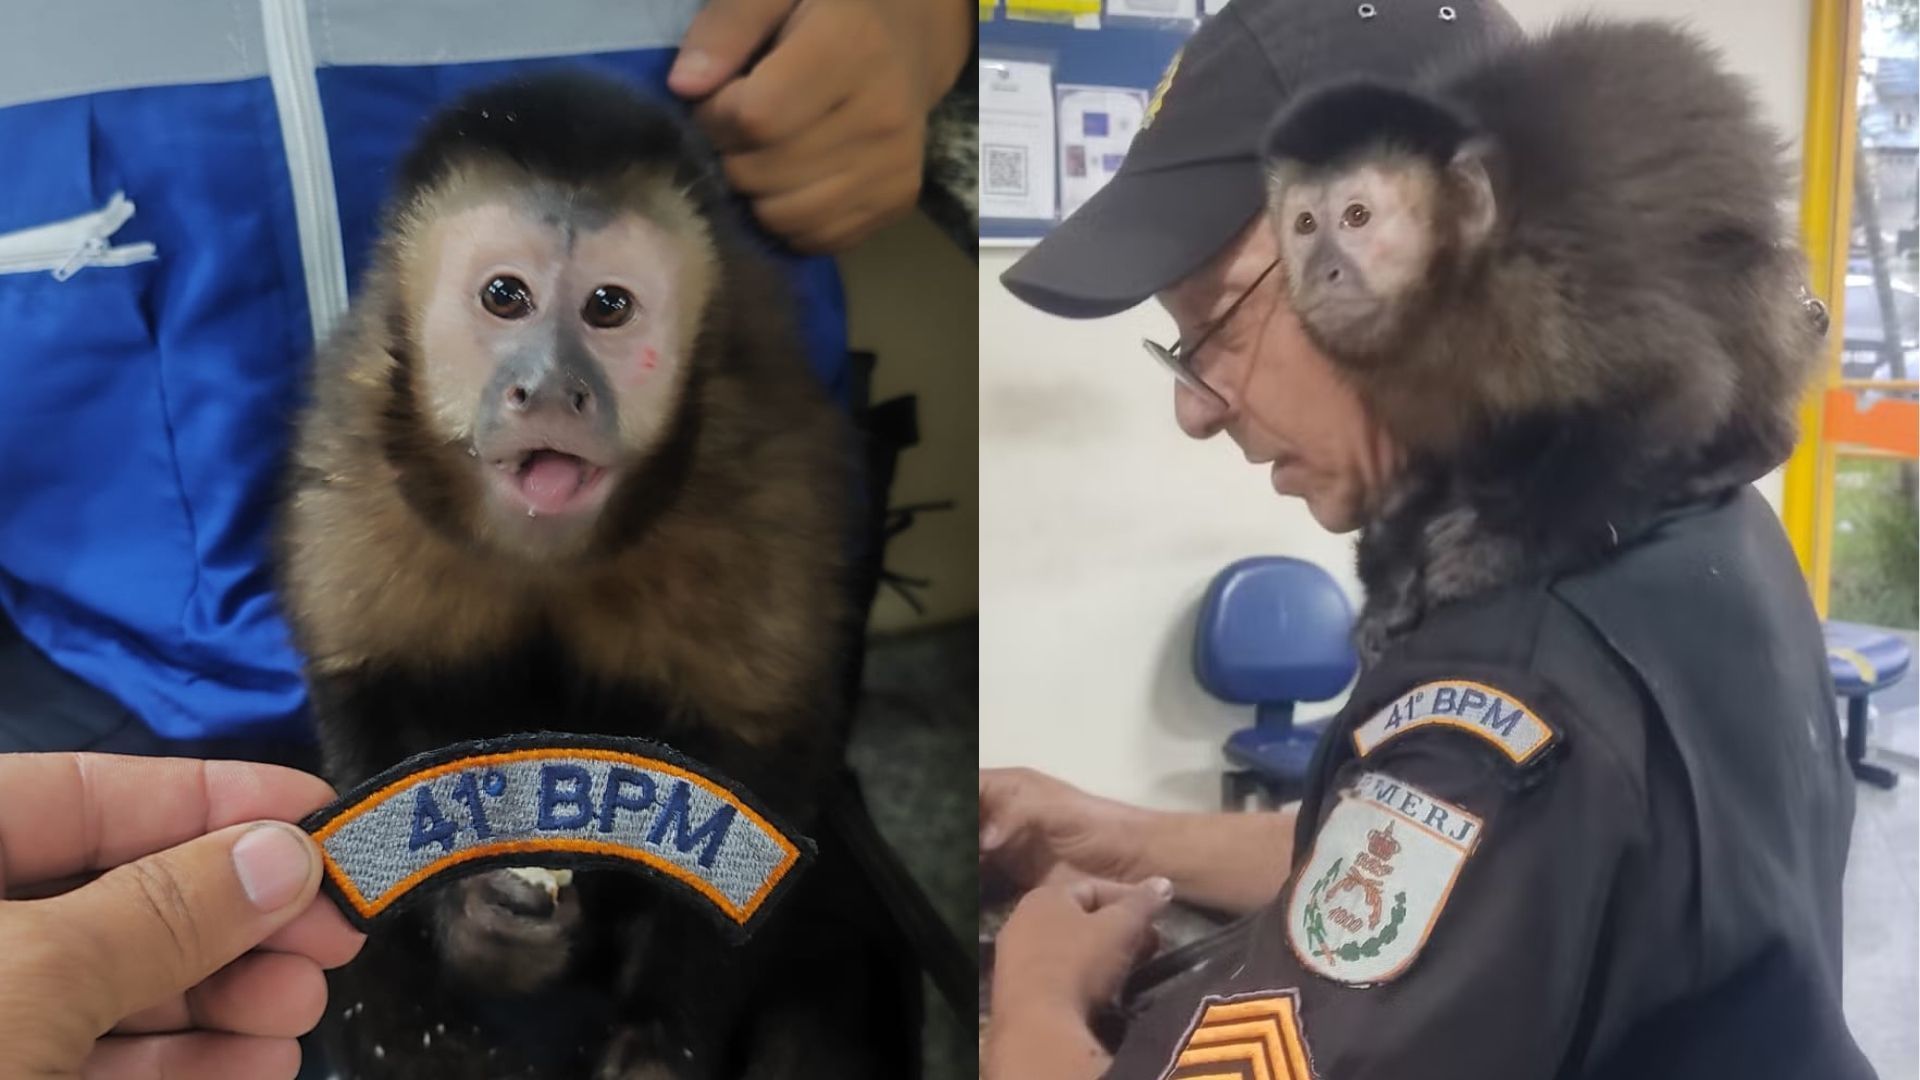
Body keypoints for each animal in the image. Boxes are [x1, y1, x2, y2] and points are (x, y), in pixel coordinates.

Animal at [274, 70, 913, 1078]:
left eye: (609, 307)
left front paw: (656, 1044)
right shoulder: (354, 456)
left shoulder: (765, 479)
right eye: (505, 295)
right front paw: (484, 929)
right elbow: (371, 727)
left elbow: (757, 780)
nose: (548, 389)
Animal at [1259, 20, 1829, 660]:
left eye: (1357, 217)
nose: (1322, 271)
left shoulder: (1548, 280)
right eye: (1305, 226)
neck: (1458, 285)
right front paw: (1392, 577)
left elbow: (1679, 387)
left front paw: (1505, 545)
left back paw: (1751, 449)